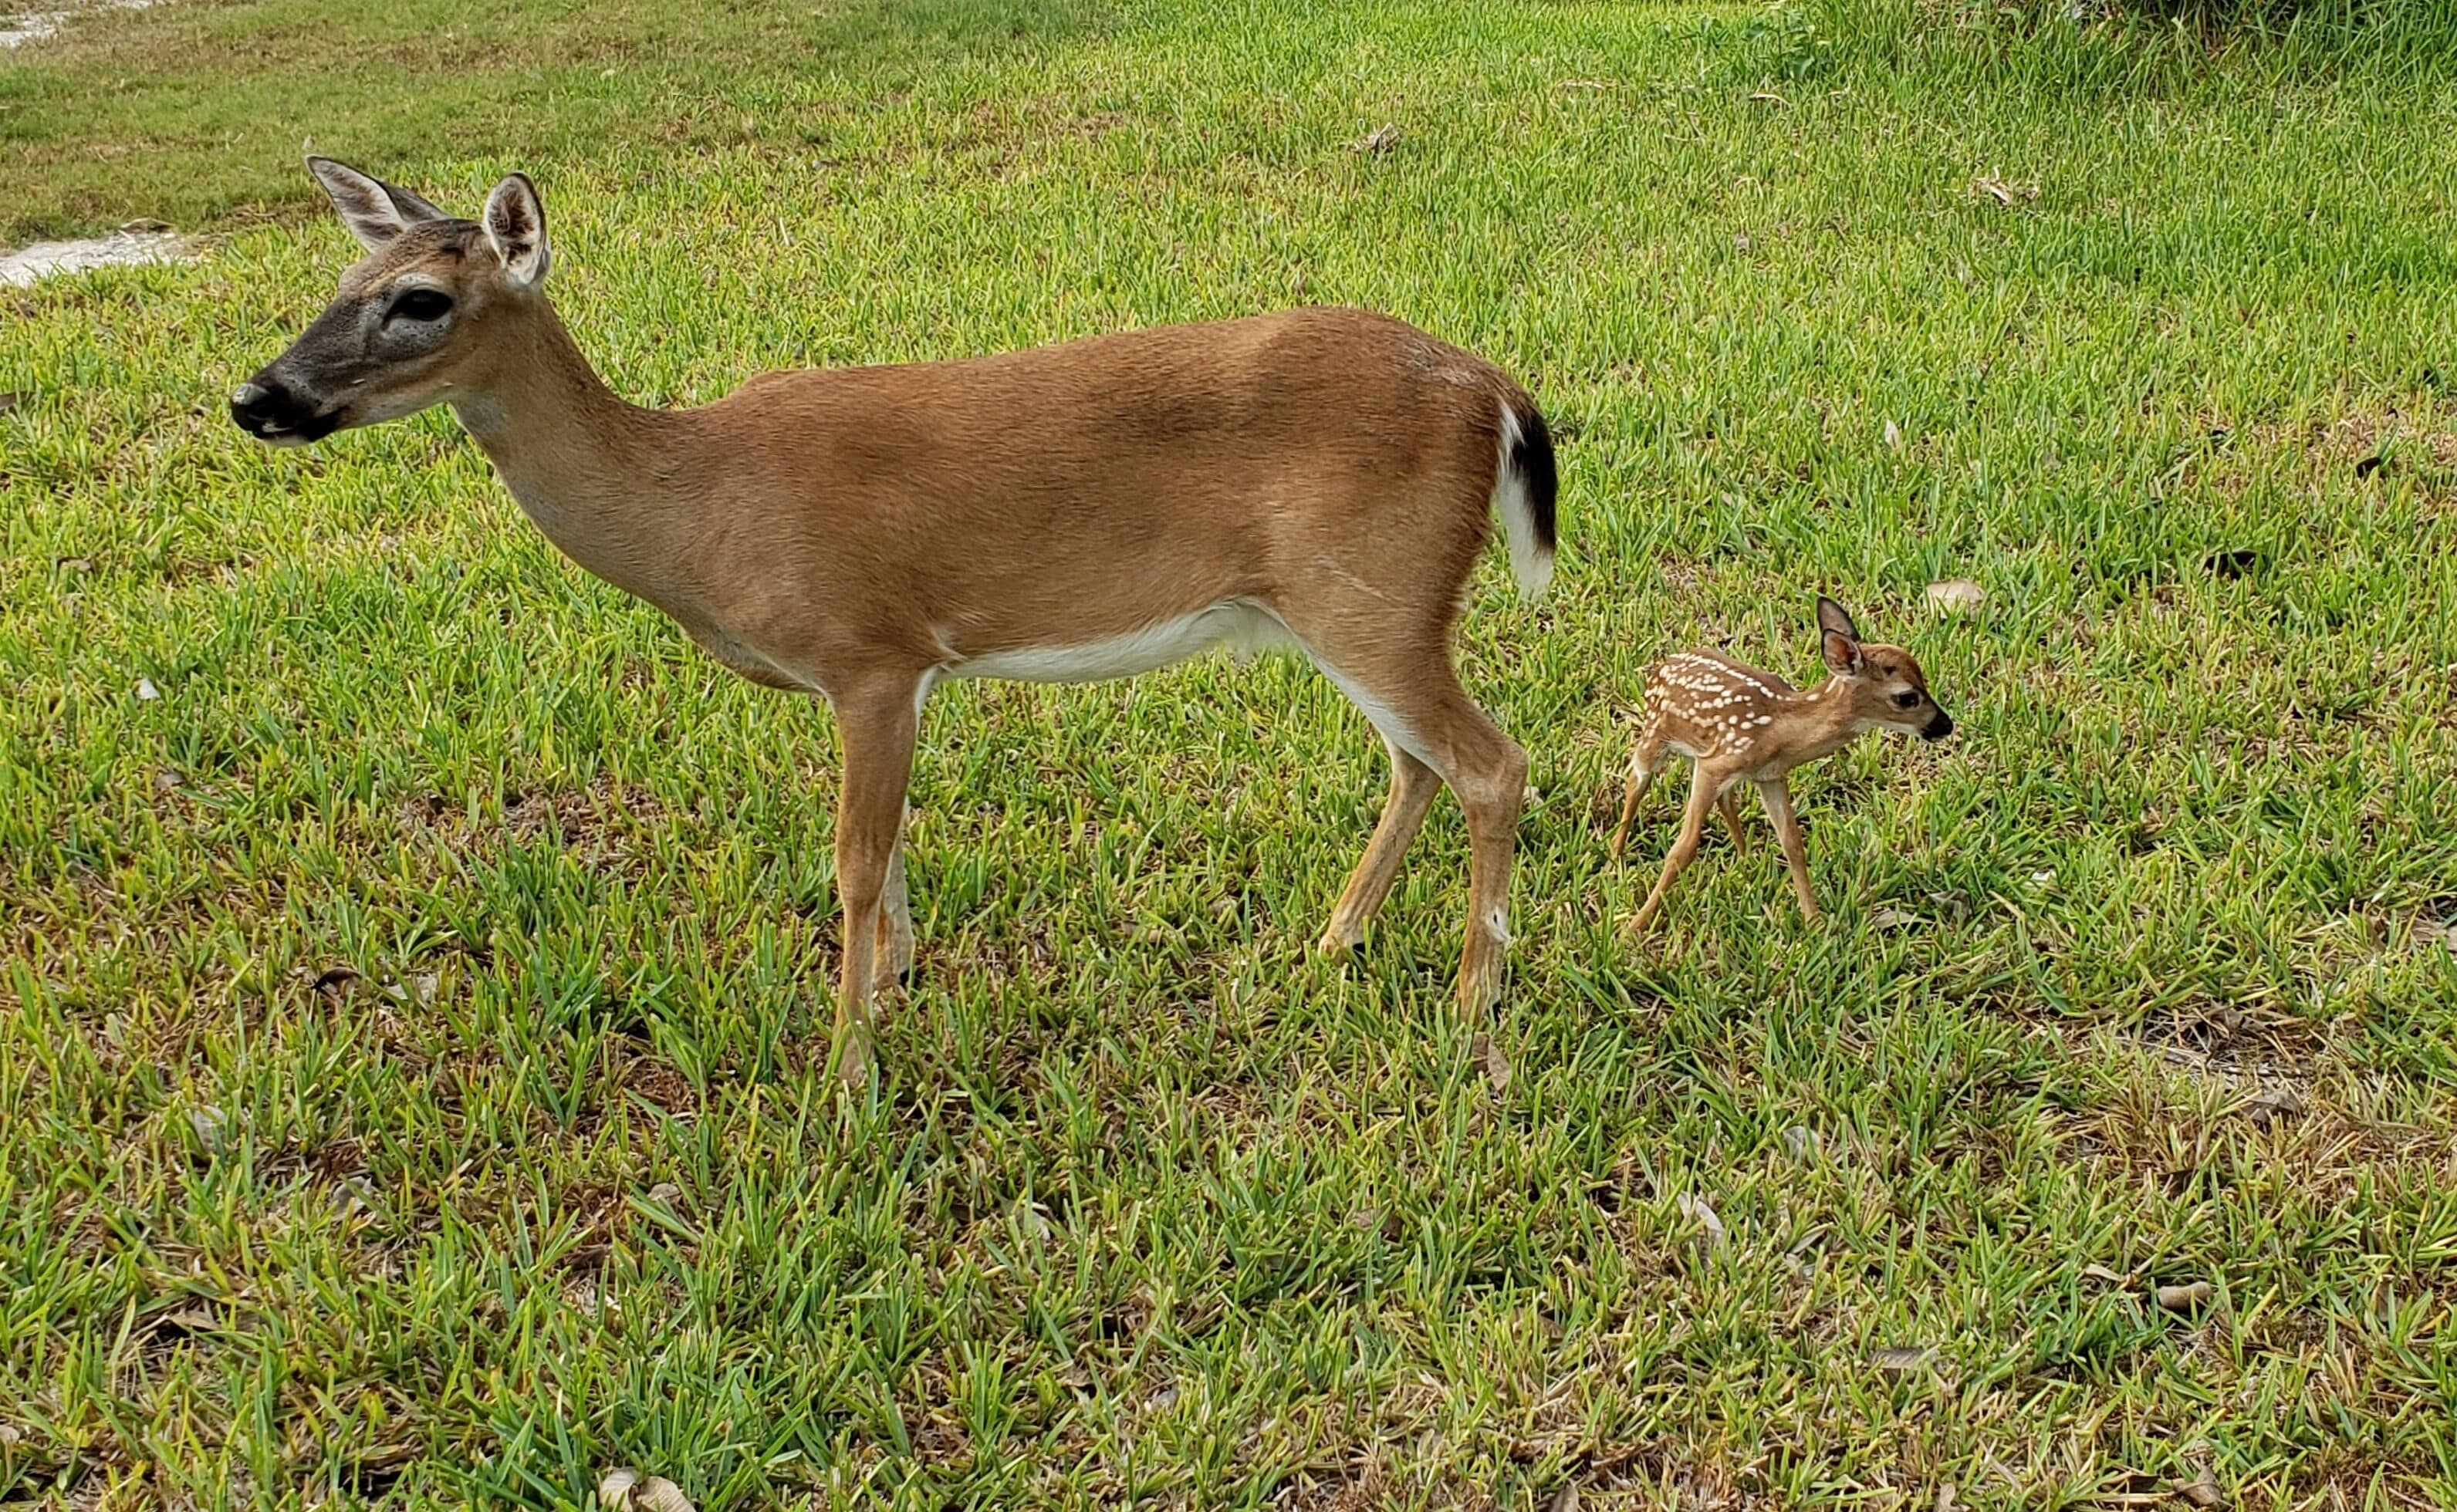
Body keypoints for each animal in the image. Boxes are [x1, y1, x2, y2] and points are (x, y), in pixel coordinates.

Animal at [229, 158, 1559, 1087]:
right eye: (337, 285)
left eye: (421, 299)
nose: (257, 398)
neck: (698, 506)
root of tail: (1495, 391)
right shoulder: (891, 674)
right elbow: (896, 842)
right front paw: (897, 986)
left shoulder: (869, 651)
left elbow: (854, 860)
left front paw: (848, 1067)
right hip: (1351, 605)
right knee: (1418, 759)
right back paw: (1333, 943)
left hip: (1372, 589)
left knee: (1494, 763)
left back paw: (1469, 1005)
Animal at [1608, 597, 1951, 935]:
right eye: (1907, 697)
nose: (1946, 725)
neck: (1779, 729)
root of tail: (1665, 664)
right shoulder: (1714, 766)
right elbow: (1683, 849)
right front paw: (1634, 928)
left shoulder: (1768, 775)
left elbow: (1793, 845)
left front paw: (1814, 923)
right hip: (1655, 732)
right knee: (1635, 781)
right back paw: (1615, 856)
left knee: (1725, 799)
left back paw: (1746, 862)